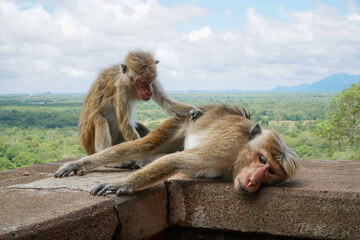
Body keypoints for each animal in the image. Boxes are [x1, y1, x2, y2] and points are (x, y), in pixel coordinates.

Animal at [54, 105, 300, 195]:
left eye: (271, 172)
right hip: (178, 122)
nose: (252, 181)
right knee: (143, 147)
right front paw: (123, 185)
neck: (238, 155)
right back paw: (82, 163)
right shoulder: (224, 147)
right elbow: (175, 161)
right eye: (262, 160)